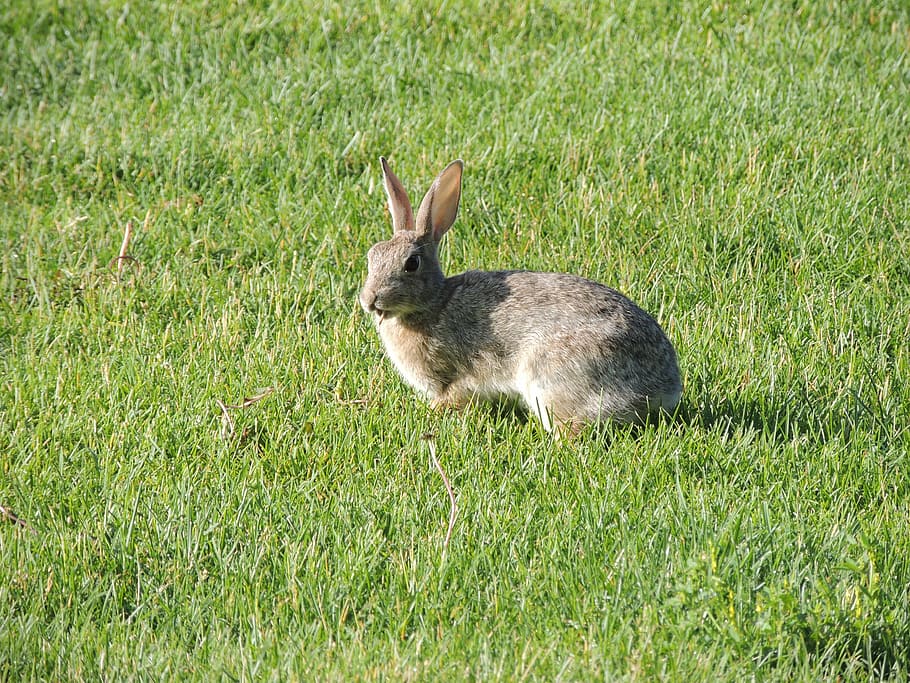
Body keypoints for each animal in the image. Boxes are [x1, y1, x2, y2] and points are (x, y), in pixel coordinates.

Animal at [359, 157, 682, 435]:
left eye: (411, 263)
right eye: (372, 255)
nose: (369, 299)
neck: (434, 302)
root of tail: (665, 389)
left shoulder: (454, 376)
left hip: (549, 377)